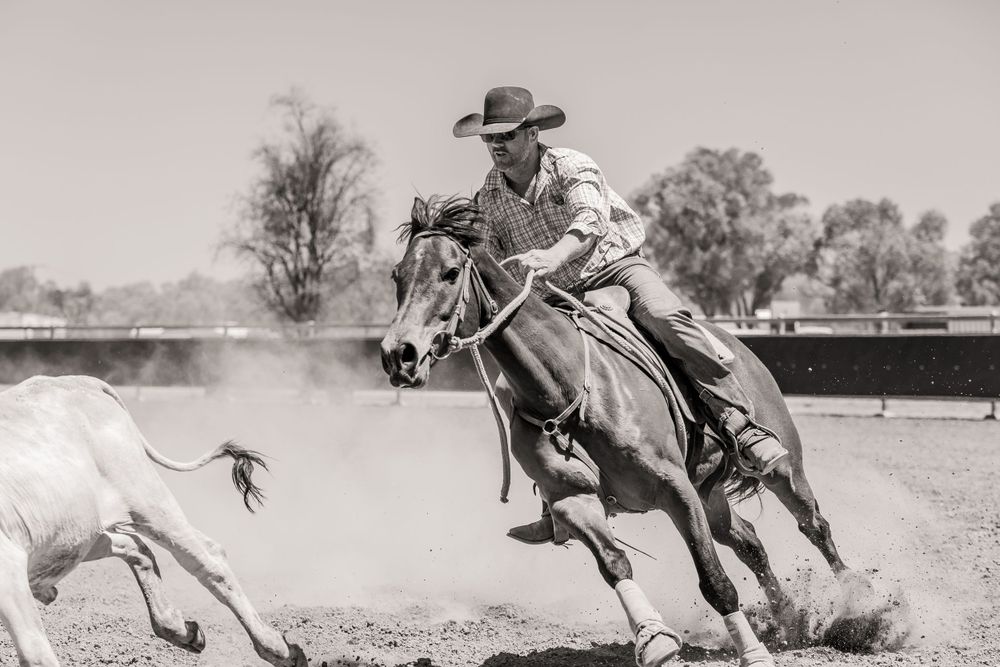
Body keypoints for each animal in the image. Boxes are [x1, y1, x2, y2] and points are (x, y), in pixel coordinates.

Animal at [0, 375, 307, 667]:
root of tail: (78, 381)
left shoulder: (9, 569)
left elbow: (36, 654)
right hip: (80, 535)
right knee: (137, 547)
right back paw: (182, 630)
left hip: (149, 501)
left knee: (208, 563)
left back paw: (279, 649)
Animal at [381, 195, 867, 667]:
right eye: (397, 276)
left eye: (450, 272)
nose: (398, 354)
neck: (570, 386)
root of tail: (736, 344)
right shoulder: (573, 500)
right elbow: (615, 565)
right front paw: (654, 640)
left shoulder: (674, 488)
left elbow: (714, 581)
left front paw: (754, 654)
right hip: (709, 495)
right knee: (749, 541)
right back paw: (789, 621)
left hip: (780, 467)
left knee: (813, 524)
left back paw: (856, 609)